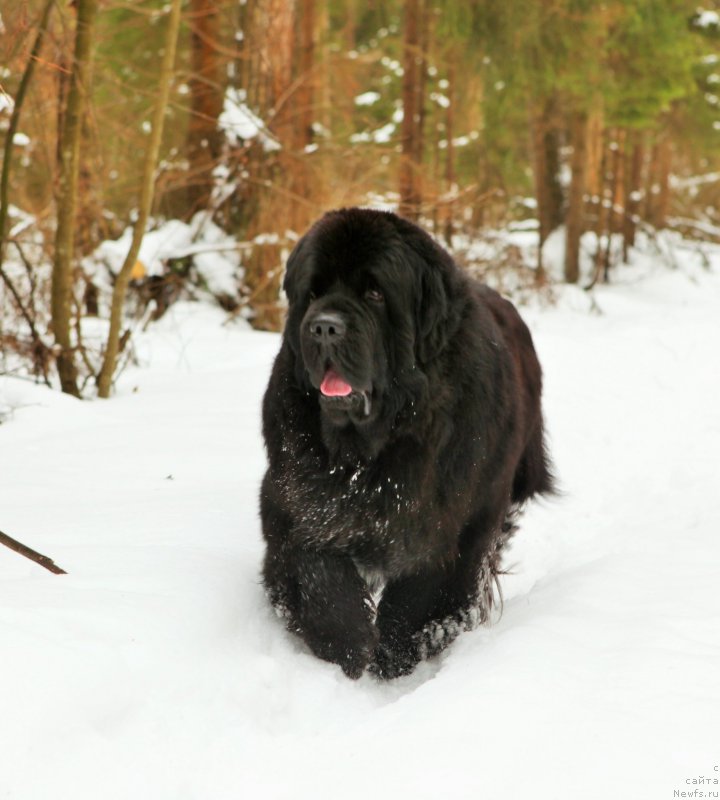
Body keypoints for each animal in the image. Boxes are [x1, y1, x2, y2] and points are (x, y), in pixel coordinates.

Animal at [262, 209, 556, 680]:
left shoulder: (454, 517)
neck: (368, 452)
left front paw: (397, 652)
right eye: (314, 292)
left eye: (375, 293)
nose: (324, 327)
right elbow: (315, 565)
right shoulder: (291, 497)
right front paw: (347, 642)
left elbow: (423, 589)